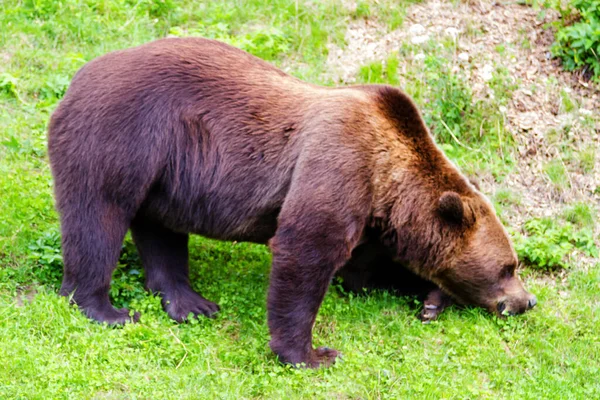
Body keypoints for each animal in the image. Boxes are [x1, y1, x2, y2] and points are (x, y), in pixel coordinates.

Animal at [45, 36, 536, 368]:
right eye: (508, 266)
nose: (527, 300)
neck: (388, 186)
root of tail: (75, 79)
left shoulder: (372, 221)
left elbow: (363, 272)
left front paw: (432, 298)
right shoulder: (339, 164)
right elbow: (305, 252)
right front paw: (311, 353)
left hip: (168, 172)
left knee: (160, 230)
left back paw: (189, 302)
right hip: (120, 132)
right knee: (97, 218)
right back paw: (104, 308)